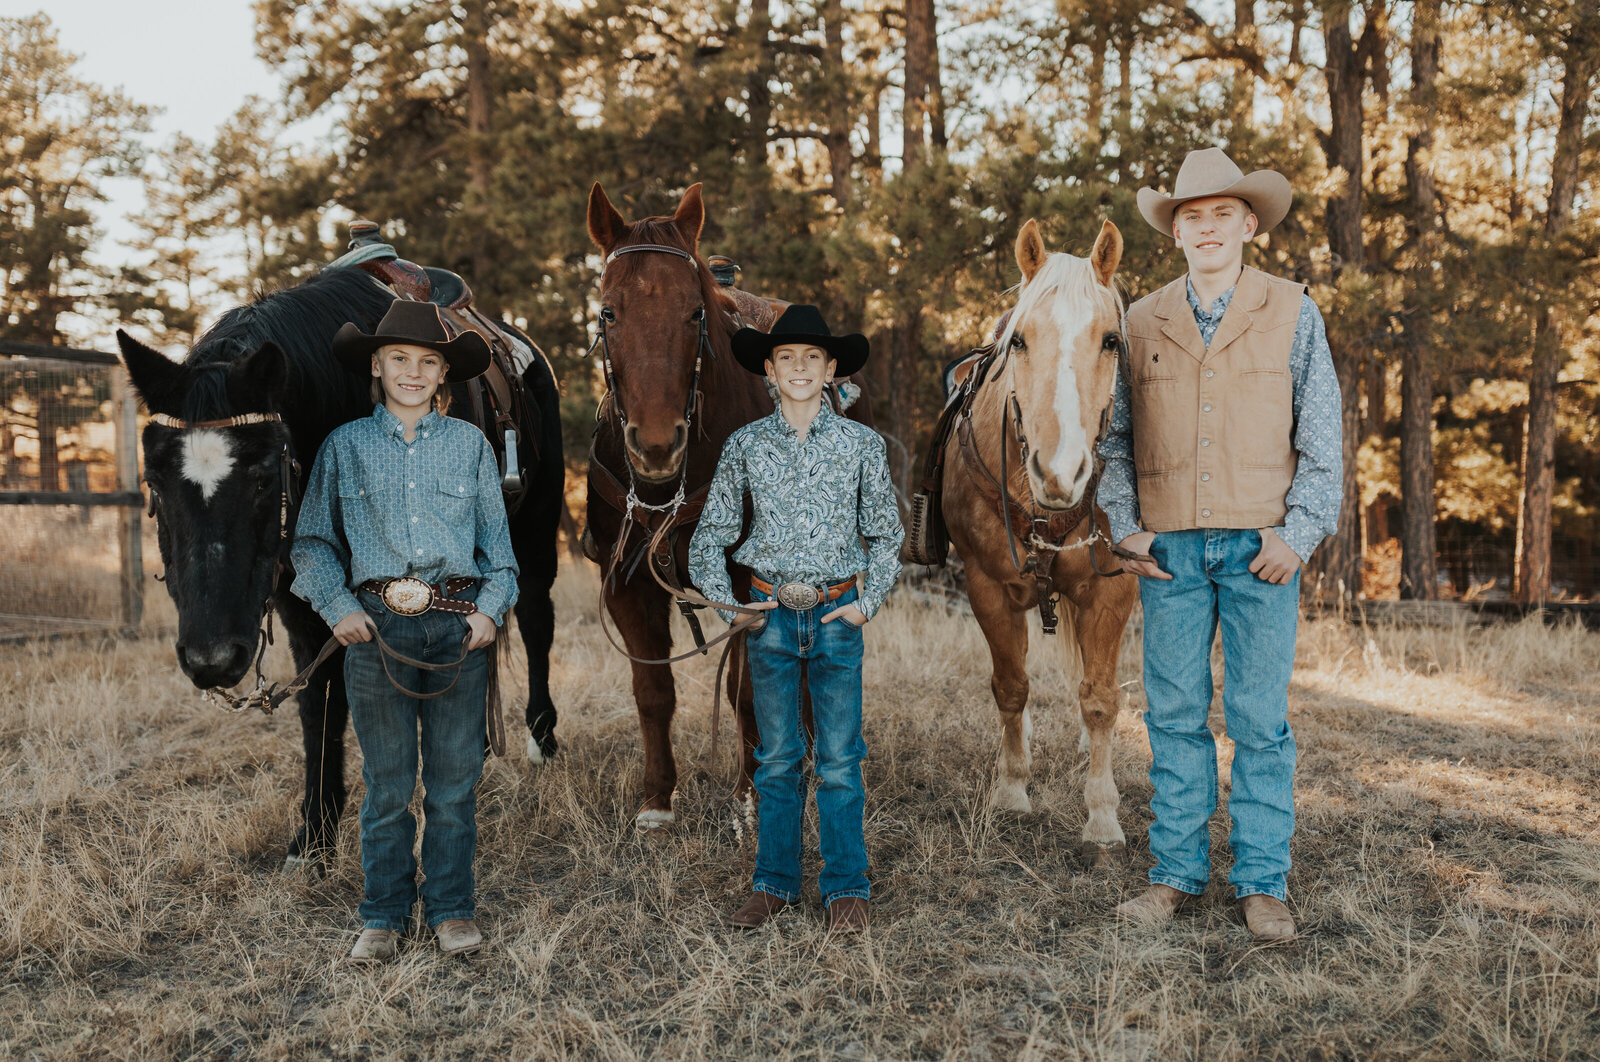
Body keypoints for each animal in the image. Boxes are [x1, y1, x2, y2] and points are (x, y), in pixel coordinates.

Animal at [582, 182, 870, 831]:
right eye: (608, 312)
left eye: (695, 312)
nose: (656, 445)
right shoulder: (623, 584)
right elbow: (652, 691)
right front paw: (657, 799)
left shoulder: (748, 583)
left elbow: (748, 690)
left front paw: (751, 793)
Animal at [934, 217, 1139, 863]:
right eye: (1019, 341)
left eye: (1111, 341)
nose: (1059, 471)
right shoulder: (986, 588)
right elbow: (1010, 687)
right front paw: (1012, 787)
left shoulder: (1111, 592)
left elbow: (1099, 697)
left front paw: (1102, 814)